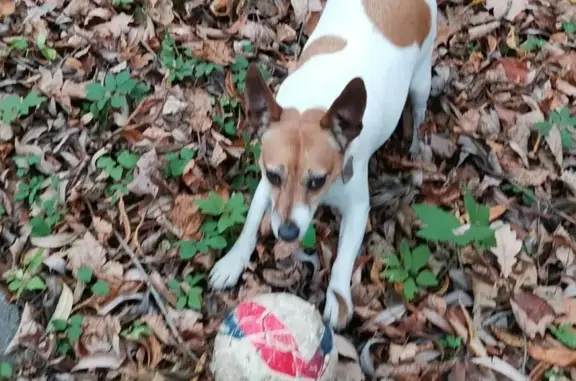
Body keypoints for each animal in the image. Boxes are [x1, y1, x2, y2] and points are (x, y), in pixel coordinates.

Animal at [209, 0, 438, 328]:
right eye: (274, 176)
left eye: (317, 180)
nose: (287, 233)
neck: (313, 104)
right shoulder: (266, 187)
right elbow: (251, 222)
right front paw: (233, 261)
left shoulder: (357, 209)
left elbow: (343, 259)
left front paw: (338, 299)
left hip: (421, 80)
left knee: (419, 112)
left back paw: (417, 146)